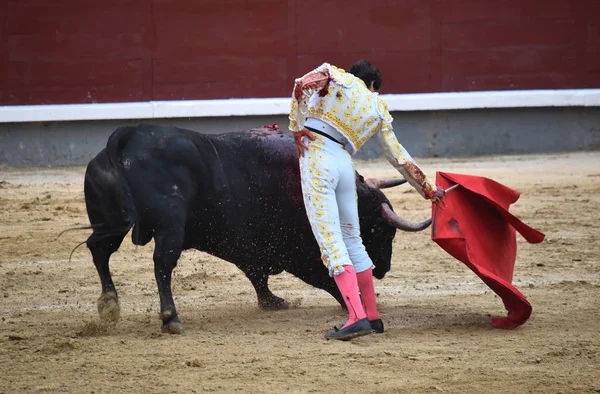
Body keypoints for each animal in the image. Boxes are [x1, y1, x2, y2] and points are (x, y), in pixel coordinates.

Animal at [84, 124, 432, 334]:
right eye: (383, 232)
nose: (383, 269)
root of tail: (127, 136)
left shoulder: (252, 250)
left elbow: (258, 277)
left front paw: (273, 302)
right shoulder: (299, 252)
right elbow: (327, 278)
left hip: (110, 223)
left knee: (99, 250)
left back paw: (109, 305)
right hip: (170, 228)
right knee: (162, 265)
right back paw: (171, 318)